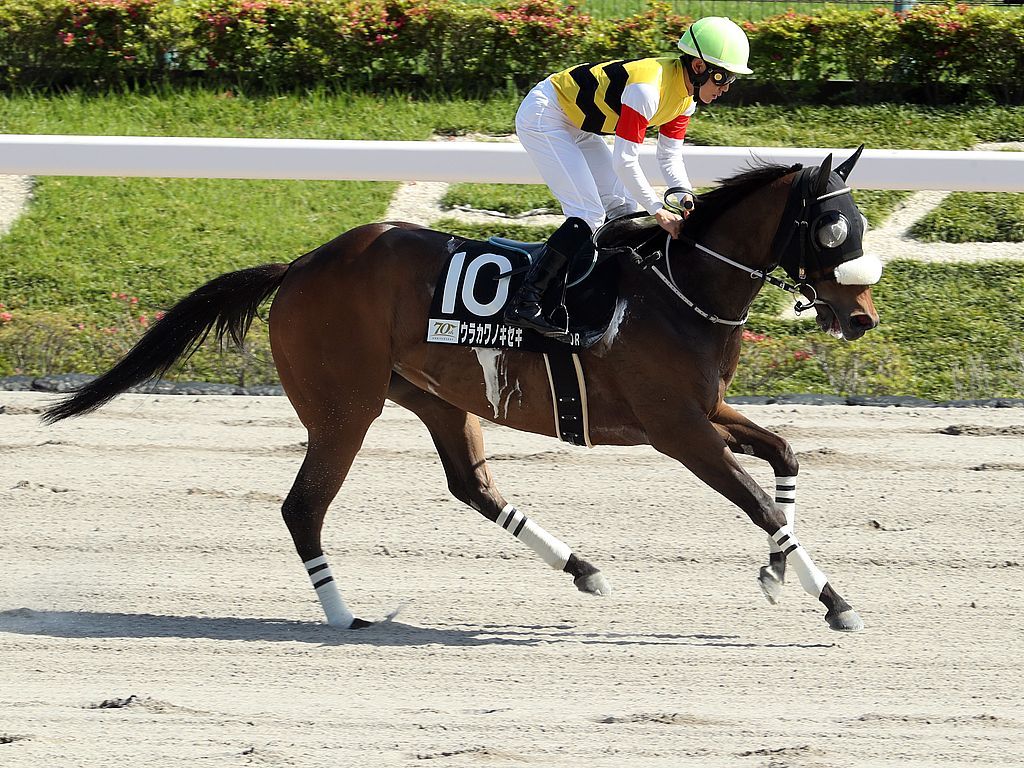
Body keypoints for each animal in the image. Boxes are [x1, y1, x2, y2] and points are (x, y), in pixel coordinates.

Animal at [42, 146, 881, 633]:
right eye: (833, 228)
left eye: (860, 222)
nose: (862, 316)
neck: (681, 290)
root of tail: (301, 265)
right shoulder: (677, 429)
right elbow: (760, 500)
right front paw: (835, 601)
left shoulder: (705, 411)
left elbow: (785, 458)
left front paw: (778, 573)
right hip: (344, 407)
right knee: (303, 506)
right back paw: (342, 612)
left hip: (434, 395)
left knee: (470, 485)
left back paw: (583, 569)